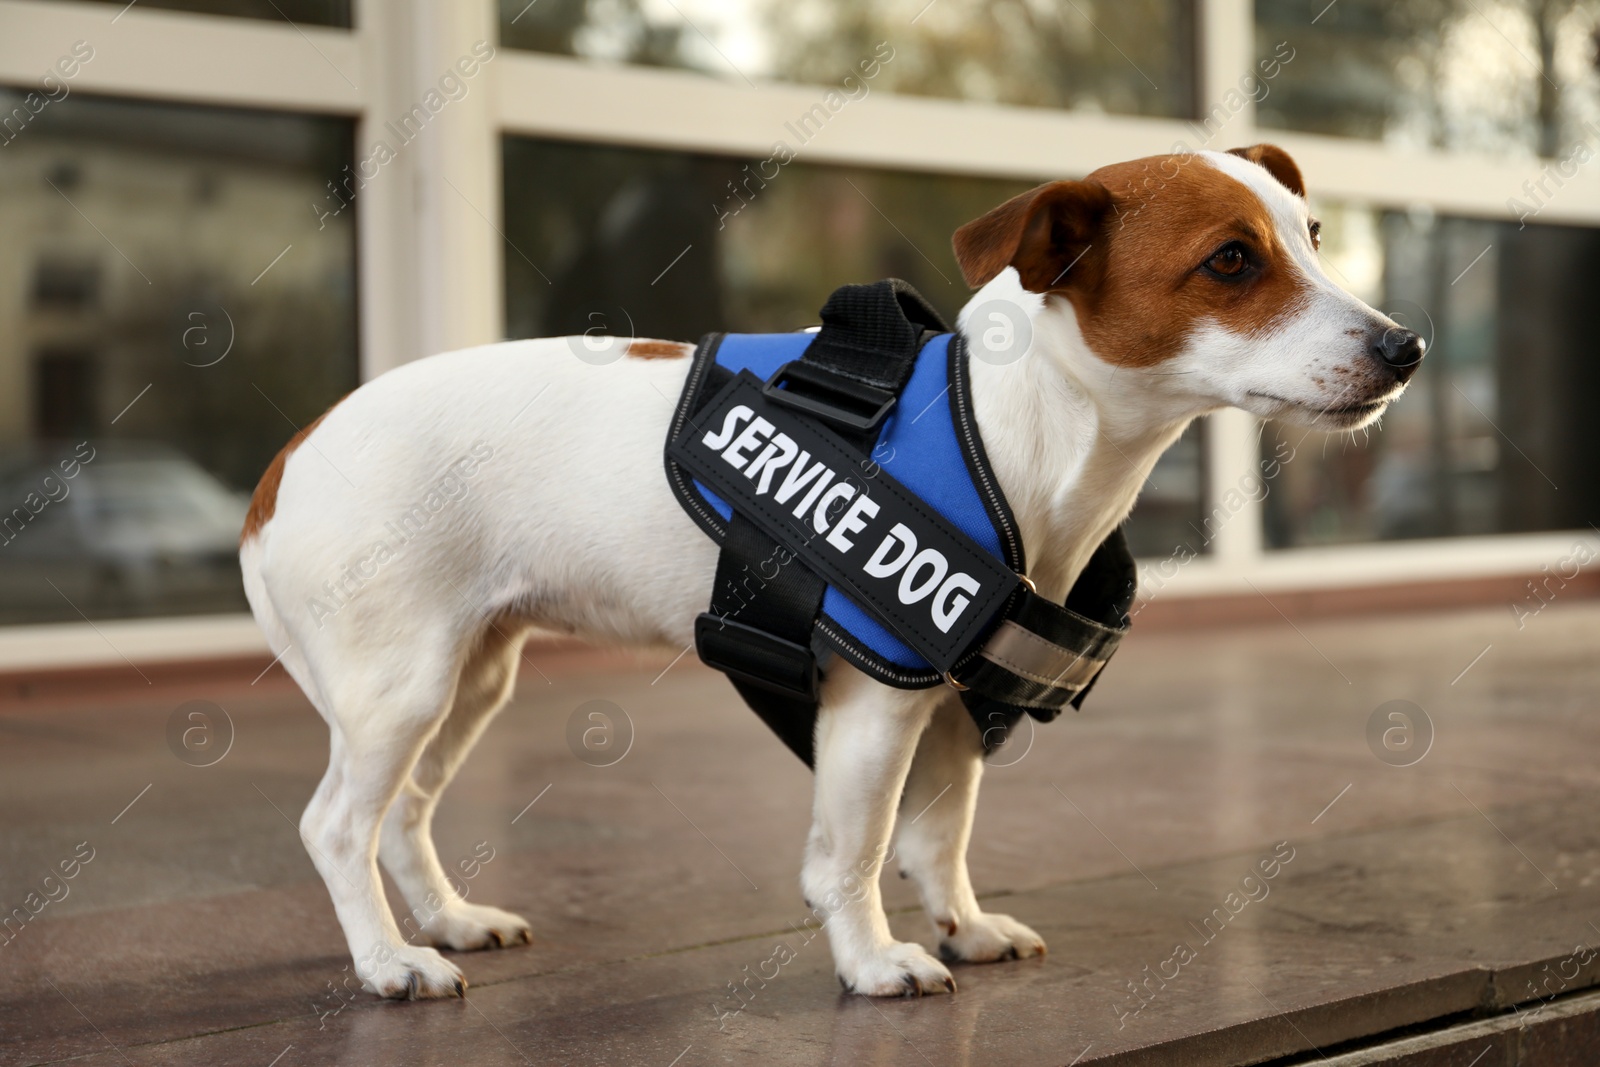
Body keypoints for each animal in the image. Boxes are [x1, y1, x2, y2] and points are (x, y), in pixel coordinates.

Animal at [240, 147, 1427, 1004]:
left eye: (1314, 238)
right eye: (1230, 262)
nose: (1405, 346)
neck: (1016, 425)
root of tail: (289, 453)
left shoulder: (948, 702)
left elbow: (938, 837)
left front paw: (962, 923)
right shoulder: (873, 702)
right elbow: (851, 854)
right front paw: (872, 960)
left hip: (468, 679)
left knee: (401, 814)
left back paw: (445, 919)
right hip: (403, 686)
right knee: (335, 825)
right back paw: (389, 961)